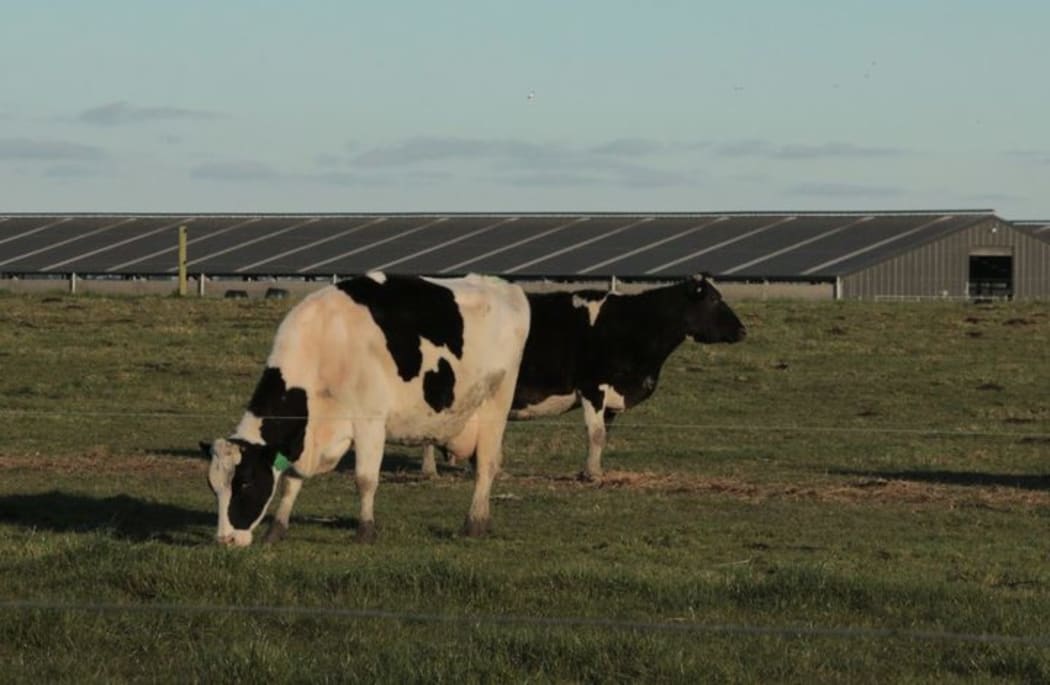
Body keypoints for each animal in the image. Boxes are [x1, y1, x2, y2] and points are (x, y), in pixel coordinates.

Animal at [201, 272, 530, 546]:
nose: (225, 541)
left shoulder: (369, 420)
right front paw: (276, 530)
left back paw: (473, 524)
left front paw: (365, 531)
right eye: (213, 488)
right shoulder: (306, 436)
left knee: (486, 466)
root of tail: (504, 287)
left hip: (495, 405)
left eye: (246, 483)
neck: (323, 344)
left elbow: (365, 479)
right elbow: (291, 481)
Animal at [422, 275, 745, 480]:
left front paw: (594, 469)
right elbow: (596, 433)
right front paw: (591, 474)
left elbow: (604, 435)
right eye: (714, 300)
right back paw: (430, 471)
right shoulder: (593, 386)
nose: (743, 330)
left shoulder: (613, 396)